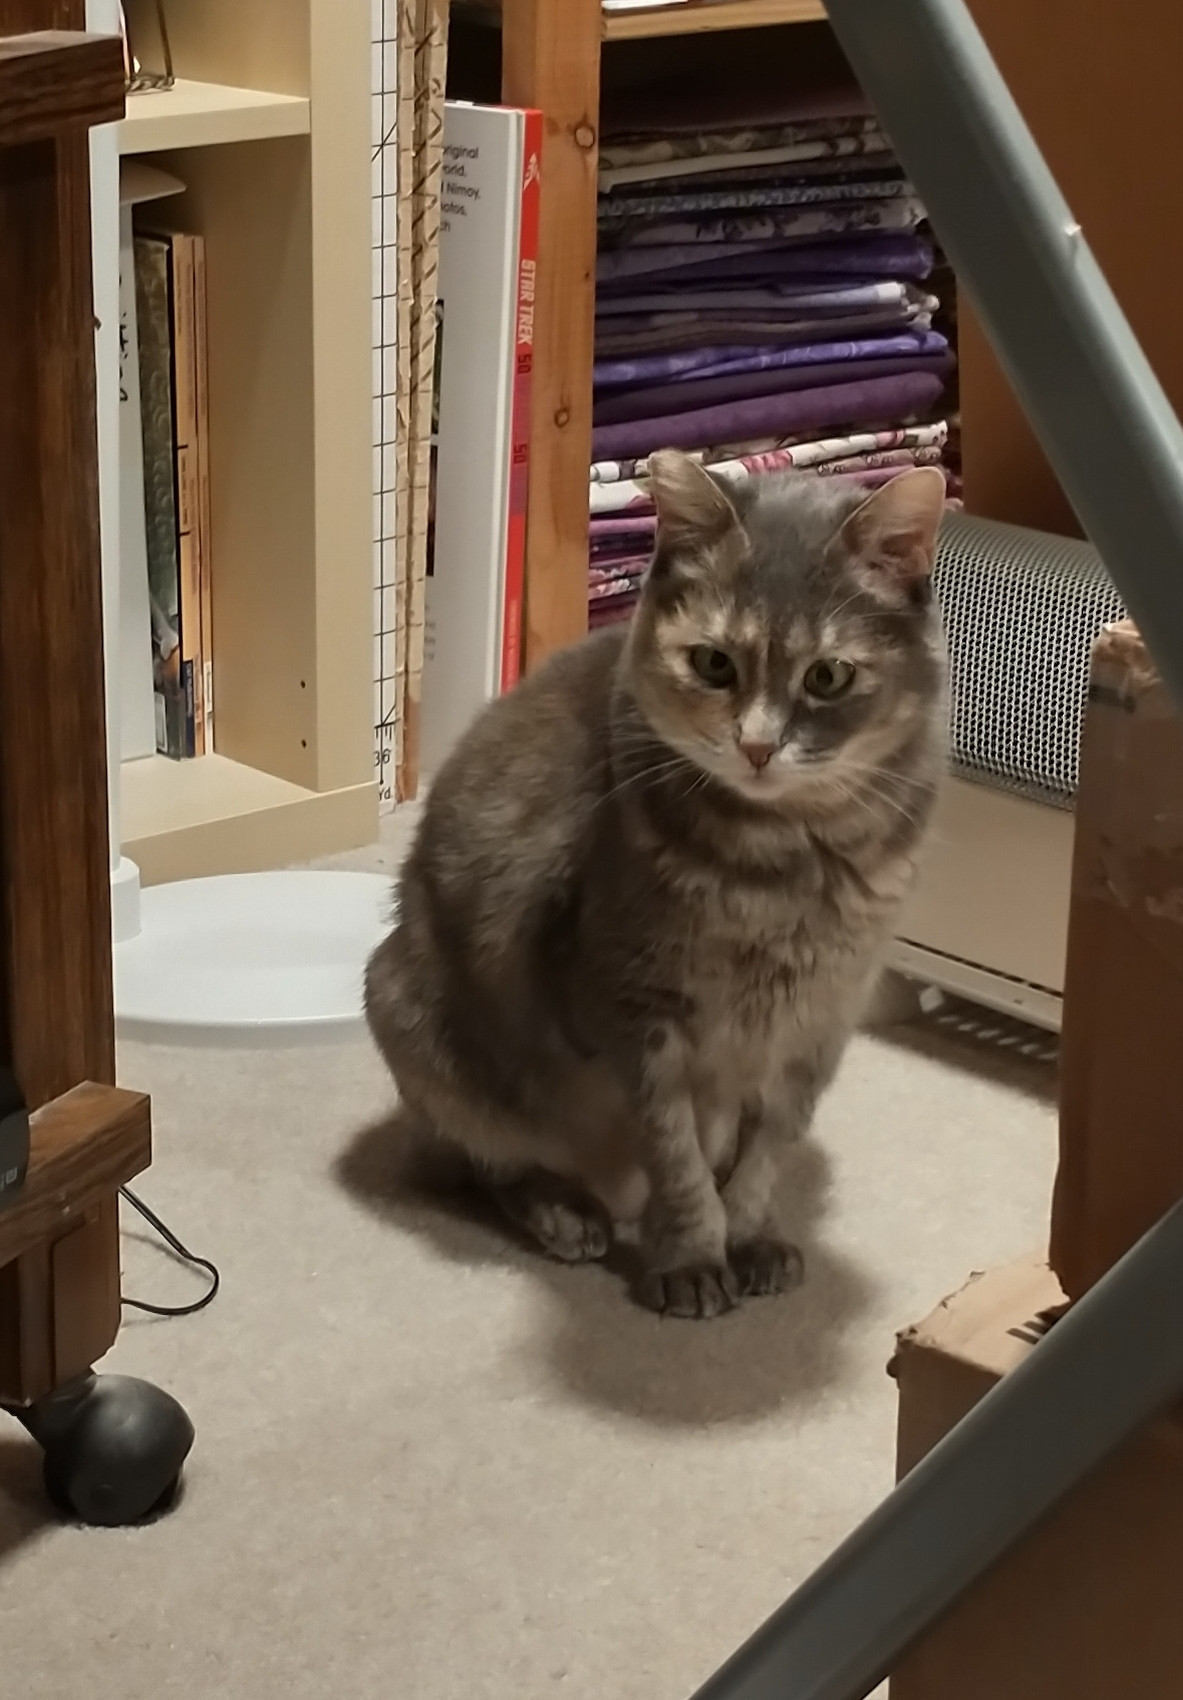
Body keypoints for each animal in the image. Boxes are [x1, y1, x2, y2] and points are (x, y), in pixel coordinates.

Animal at [365, 452, 945, 1312]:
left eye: (828, 677)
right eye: (713, 663)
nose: (757, 747)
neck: (784, 867)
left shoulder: (817, 1021)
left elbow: (765, 1150)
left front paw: (751, 1237)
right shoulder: (634, 1008)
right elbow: (678, 1154)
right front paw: (694, 1260)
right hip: (413, 1020)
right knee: (486, 1166)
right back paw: (570, 1217)